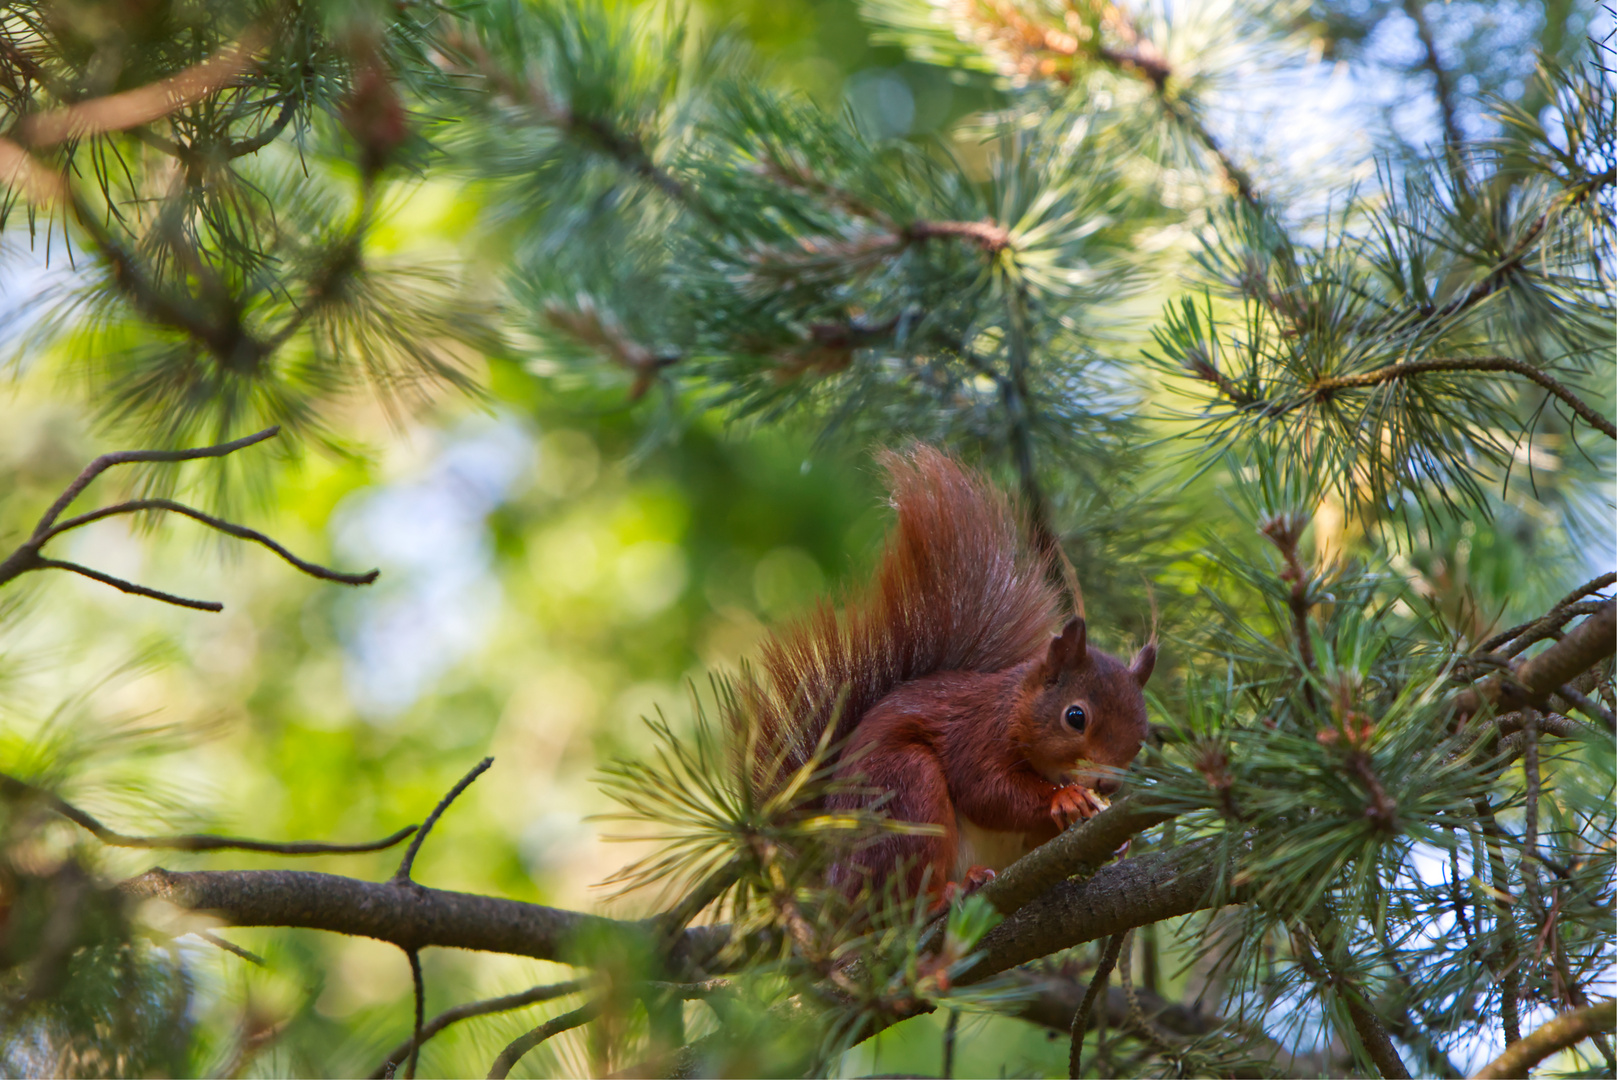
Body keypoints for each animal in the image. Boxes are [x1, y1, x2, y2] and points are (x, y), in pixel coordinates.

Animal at [740, 442, 1157, 898]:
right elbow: (987, 791)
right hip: (903, 791)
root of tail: (836, 885)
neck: (1015, 709)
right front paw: (1062, 799)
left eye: (1141, 738)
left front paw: (1115, 839)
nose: (1108, 785)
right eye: (1075, 717)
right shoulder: (975, 734)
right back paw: (949, 892)